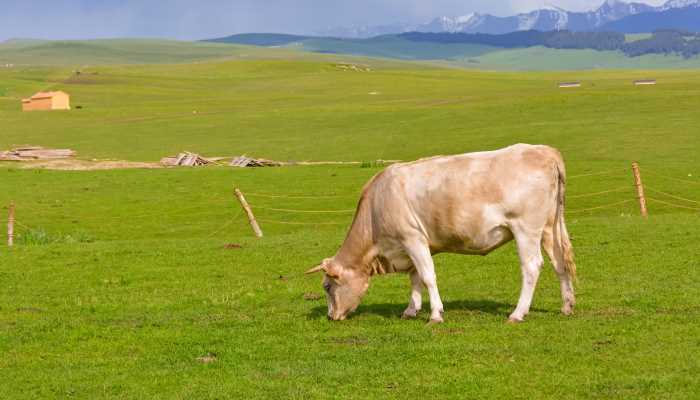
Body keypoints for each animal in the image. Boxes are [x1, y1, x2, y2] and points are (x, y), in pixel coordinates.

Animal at [306, 145, 576, 324]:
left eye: (327, 286)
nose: (331, 316)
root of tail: (544, 151)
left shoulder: (412, 238)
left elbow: (427, 277)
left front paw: (435, 314)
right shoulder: (414, 245)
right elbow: (415, 277)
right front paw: (411, 310)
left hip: (525, 229)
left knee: (531, 267)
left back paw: (518, 313)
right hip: (549, 228)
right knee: (559, 262)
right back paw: (567, 306)